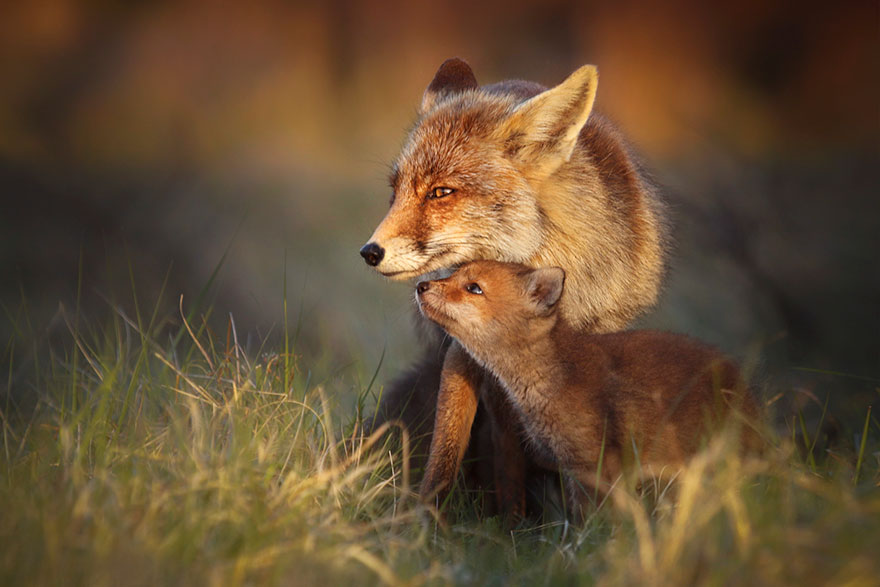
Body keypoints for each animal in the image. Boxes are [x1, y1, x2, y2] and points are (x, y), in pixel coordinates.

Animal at [359, 58, 669, 518]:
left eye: (441, 192)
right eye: (395, 192)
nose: (369, 252)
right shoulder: (464, 352)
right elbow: (450, 448)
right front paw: (435, 518)